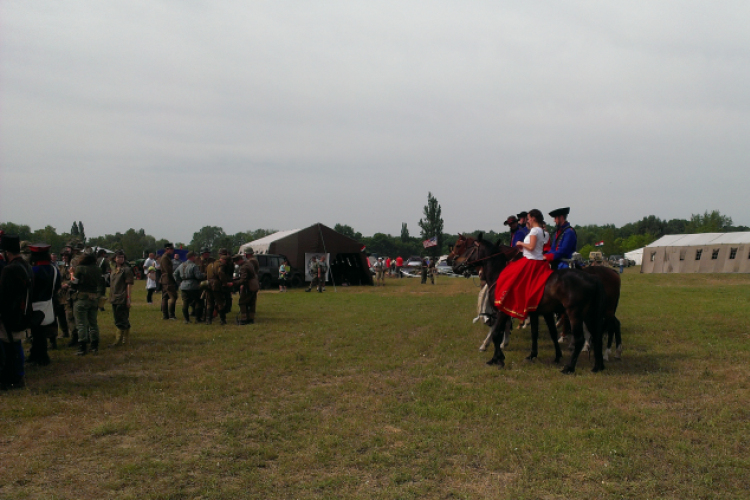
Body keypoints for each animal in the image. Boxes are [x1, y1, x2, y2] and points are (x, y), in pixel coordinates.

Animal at [450, 233, 608, 372]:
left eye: (466, 247)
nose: (454, 264)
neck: (500, 275)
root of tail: (593, 278)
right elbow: (511, 333)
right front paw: (497, 357)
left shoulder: (502, 311)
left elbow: (496, 333)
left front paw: (499, 359)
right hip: (589, 314)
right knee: (597, 335)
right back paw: (597, 366)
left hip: (575, 314)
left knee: (580, 338)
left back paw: (569, 367)